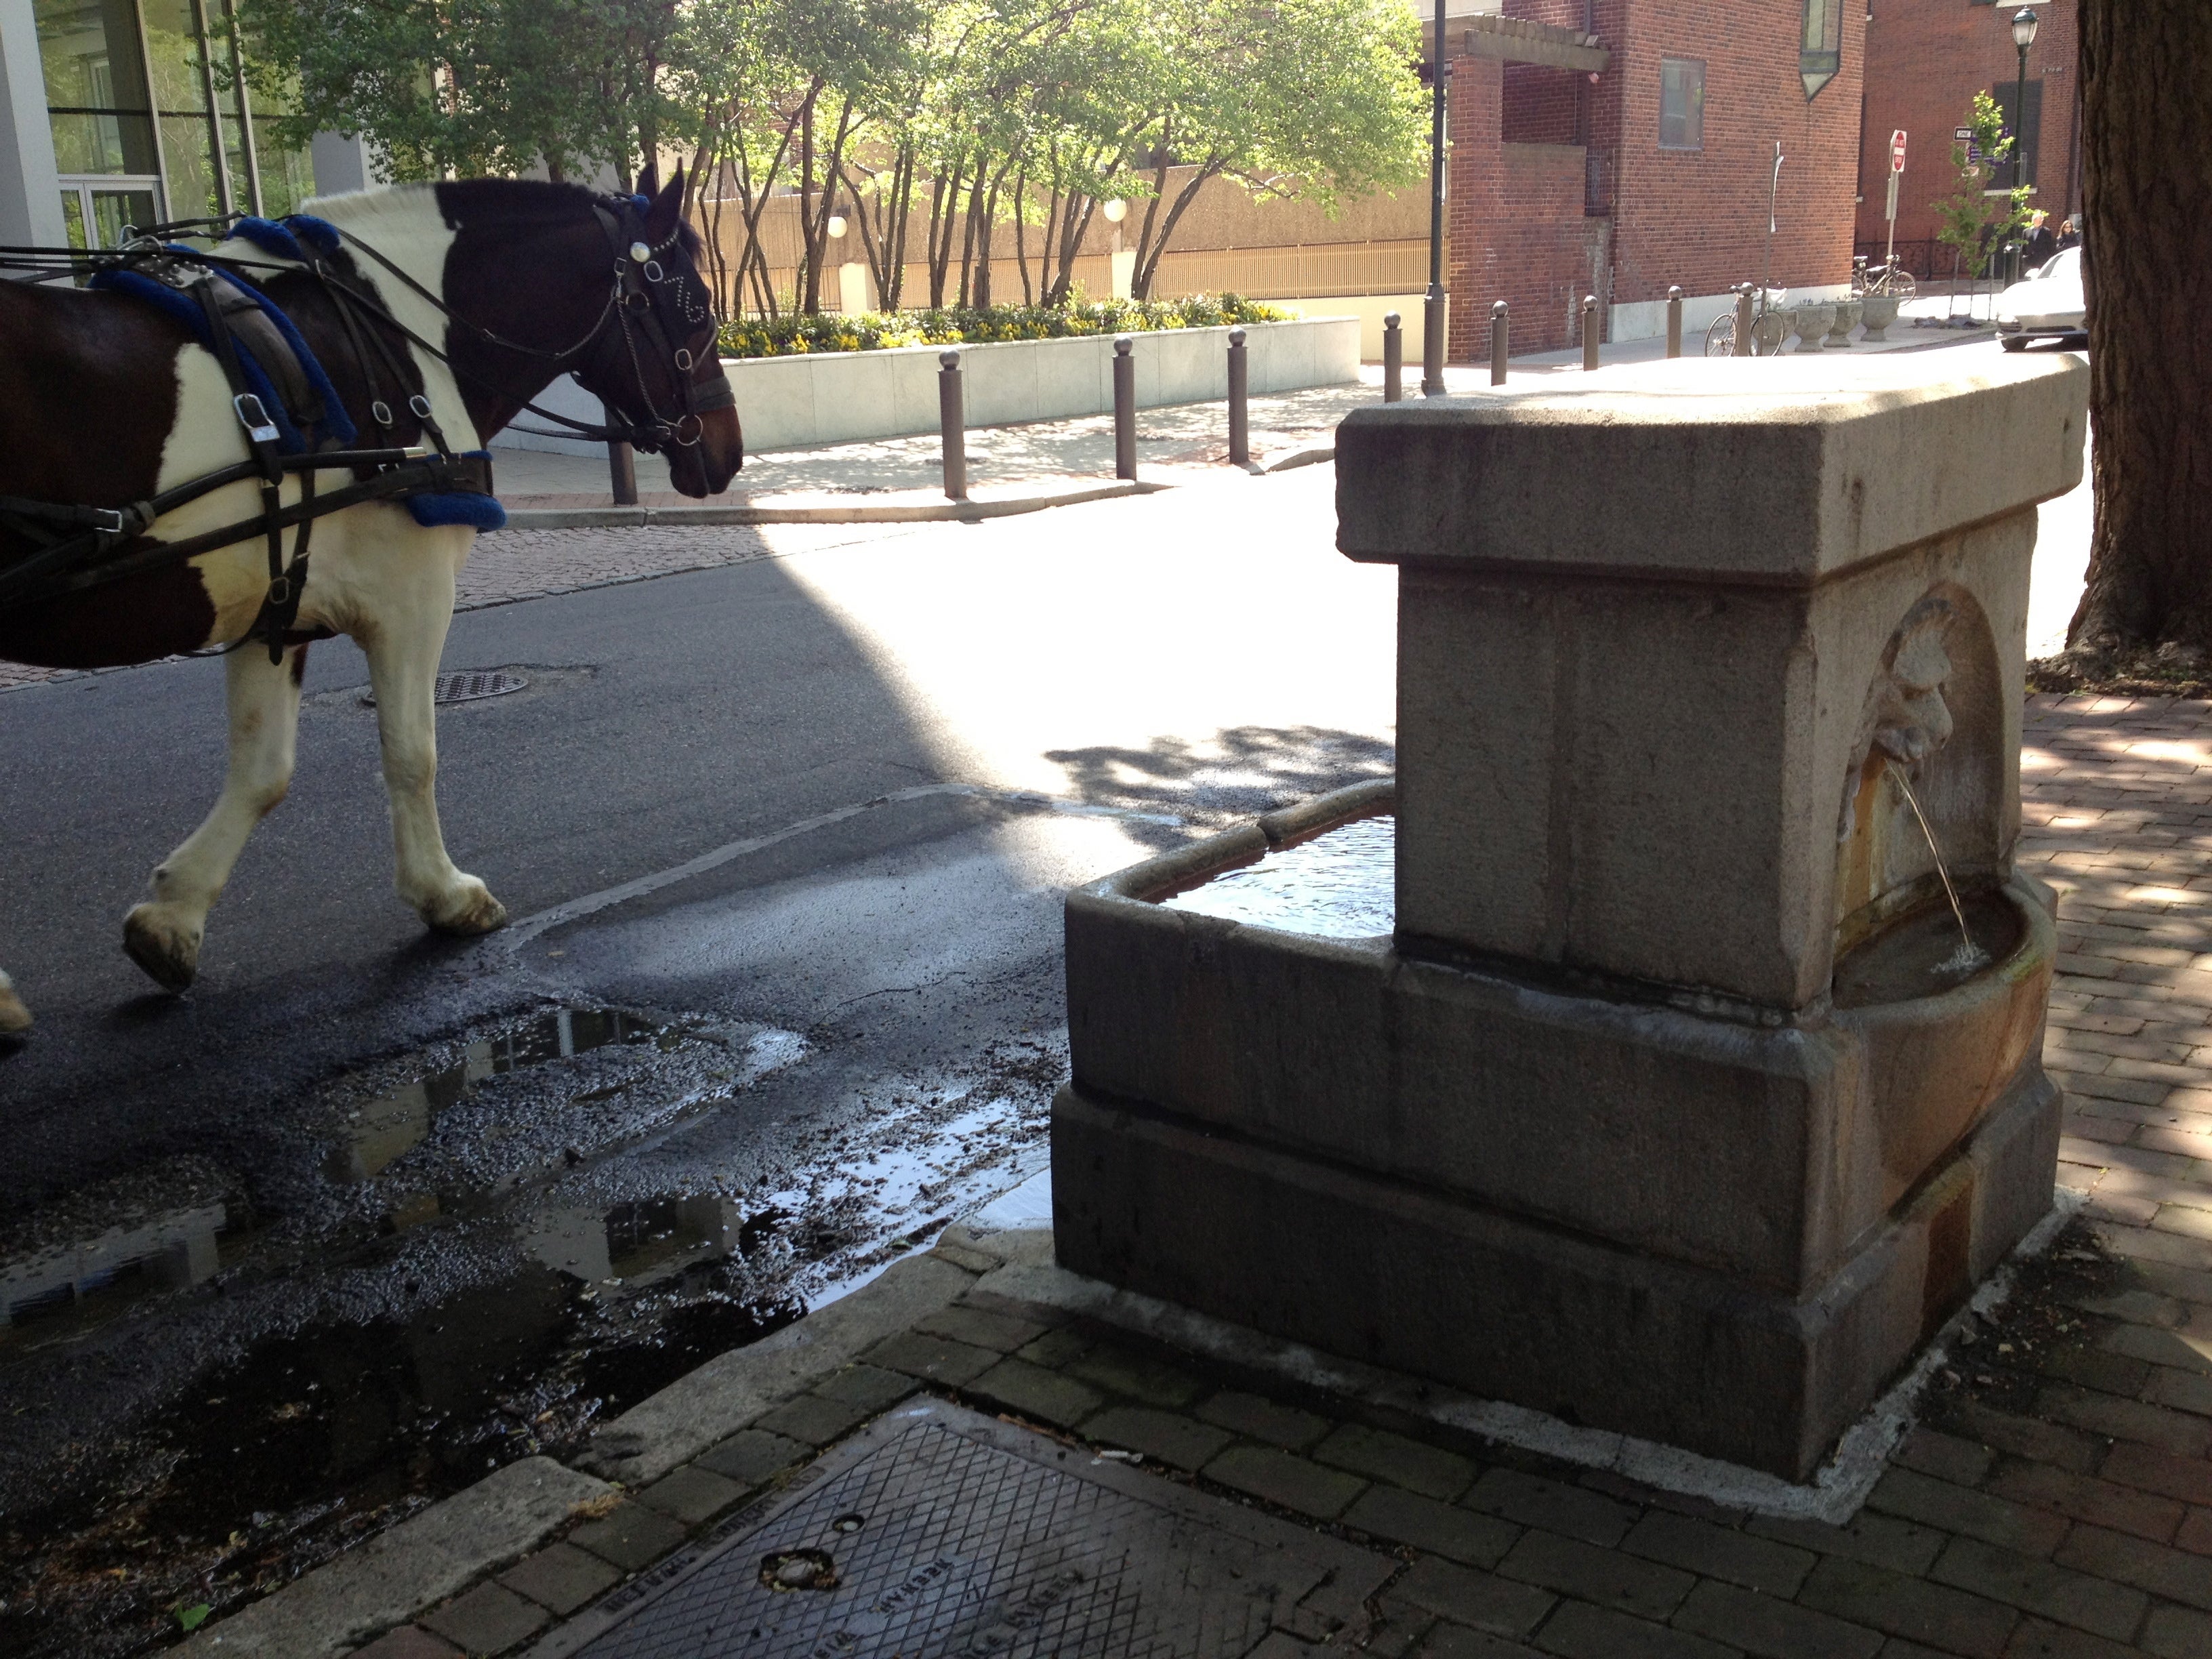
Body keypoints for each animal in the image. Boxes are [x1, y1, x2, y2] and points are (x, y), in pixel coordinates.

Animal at [0, 169, 743, 1035]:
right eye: (695, 306)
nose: (727, 452)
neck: (396, 335)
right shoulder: (413, 594)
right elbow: (412, 753)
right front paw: (443, 894)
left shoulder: (277, 599)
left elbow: (264, 771)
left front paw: (172, 918)